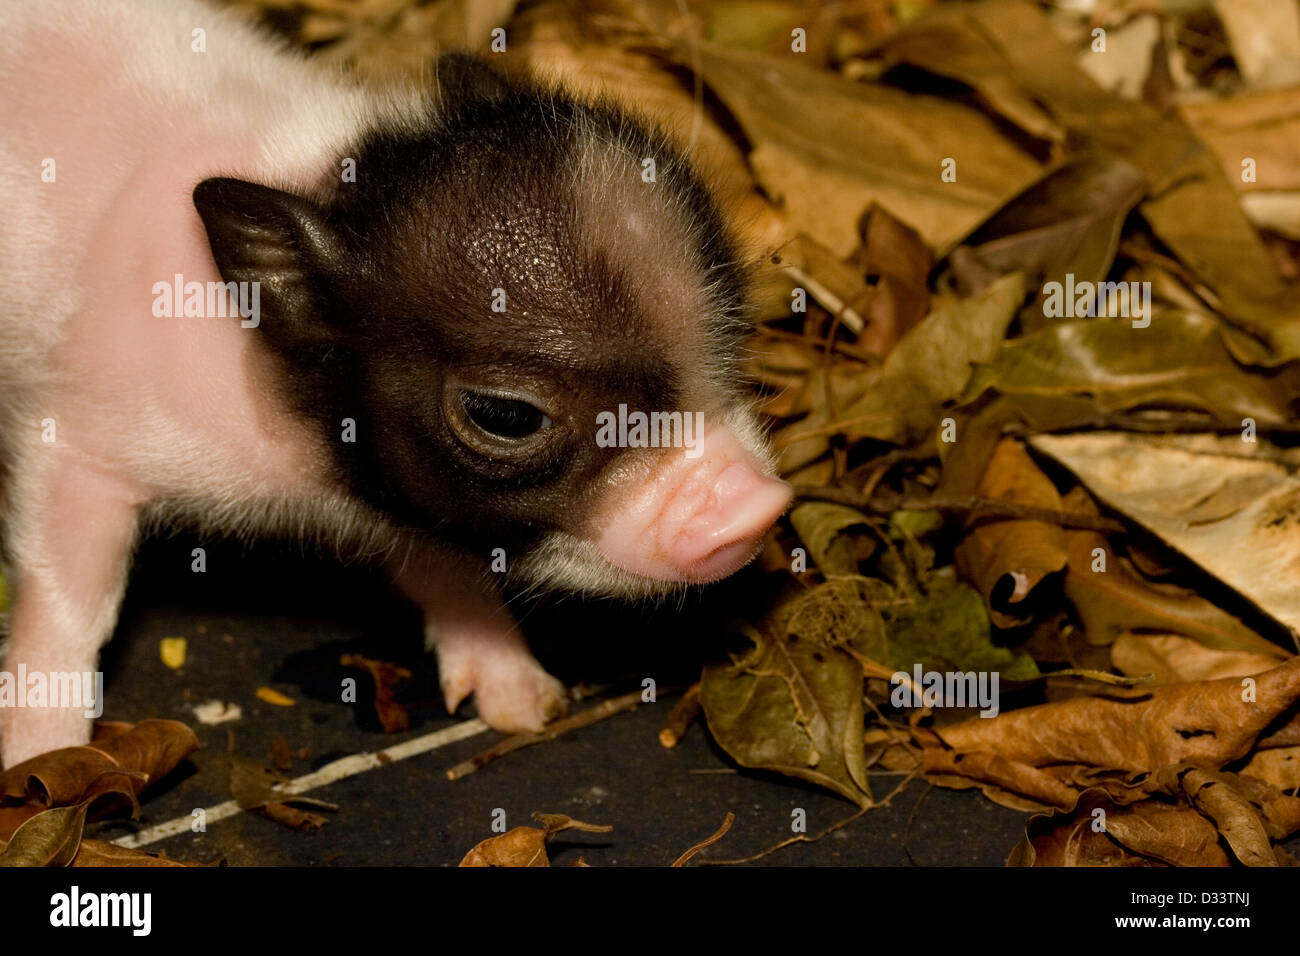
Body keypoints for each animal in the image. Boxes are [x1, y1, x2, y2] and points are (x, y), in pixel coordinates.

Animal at [0, 0, 791, 767]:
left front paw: (523, 705)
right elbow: (71, 599)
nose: (759, 507)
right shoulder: (76, 440)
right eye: (505, 416)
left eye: (730, 315)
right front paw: (38, 761)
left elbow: (444, 565)